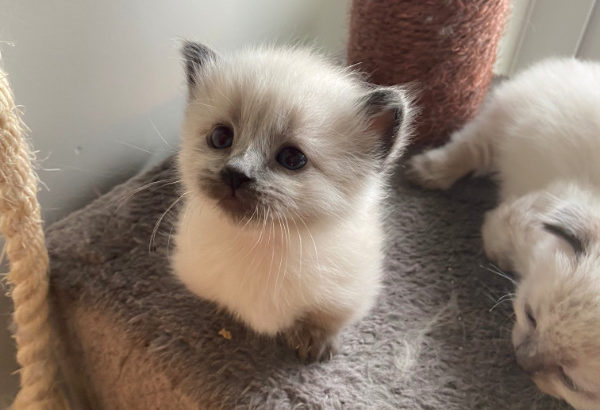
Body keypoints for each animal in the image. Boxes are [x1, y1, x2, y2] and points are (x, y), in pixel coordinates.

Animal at [169, 42, 412, 362]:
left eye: (292, 159)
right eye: (221, 137)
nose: (236, 174)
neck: (260, 245)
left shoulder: (348, 294)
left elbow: (324, 317)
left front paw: (314, 343)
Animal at [408, 58, 600, 410]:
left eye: (569, 381)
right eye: (530, 317)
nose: (522, 361)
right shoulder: (523, 211)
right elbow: (494, 234)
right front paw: (504, 260)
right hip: (507, 122)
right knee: (470, 147)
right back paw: (427, 171)